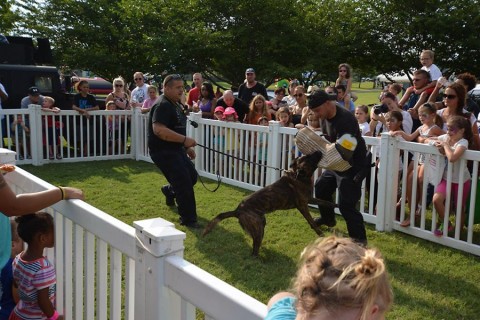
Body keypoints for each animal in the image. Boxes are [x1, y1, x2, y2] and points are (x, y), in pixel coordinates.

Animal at [202, 151, 330, 258]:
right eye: (308, 156)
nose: (319, 151)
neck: (298, 175)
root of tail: (237, 211)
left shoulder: (310, 199)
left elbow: (326, 202)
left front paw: (333, 205)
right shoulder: (303, 205)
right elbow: (312, 222)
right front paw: (321, 234)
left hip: (261, 223)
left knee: (255, 243)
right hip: (258, 227)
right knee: (254, 251)